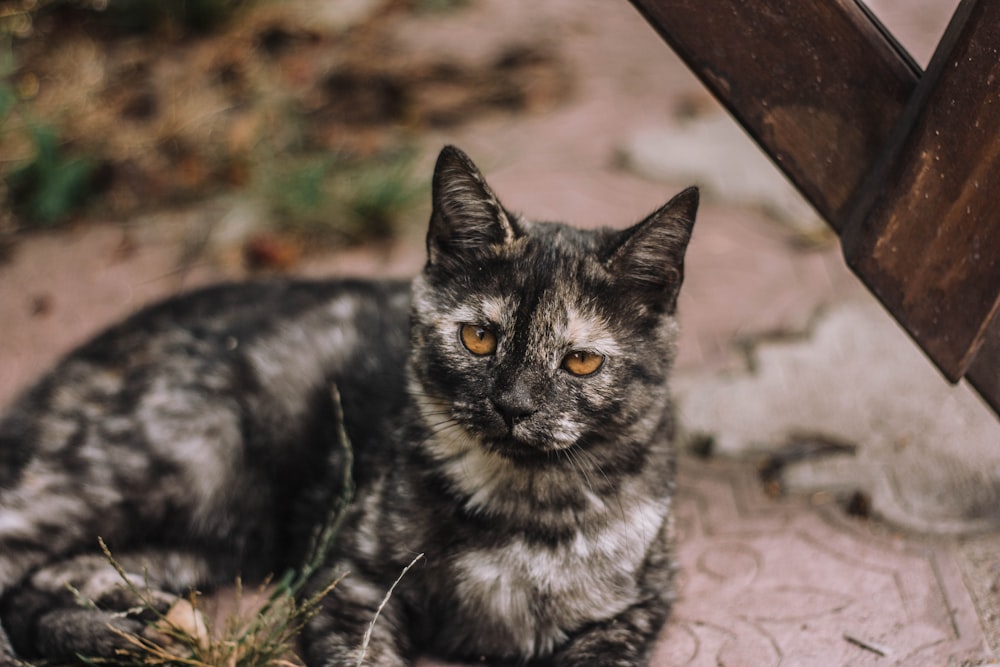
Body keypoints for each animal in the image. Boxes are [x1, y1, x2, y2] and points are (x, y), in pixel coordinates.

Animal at [0, 147, 696, 667]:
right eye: (478, 338)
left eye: (580, 362)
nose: (512, 405)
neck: (520, 512)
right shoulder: (350, 582)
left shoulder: (637, 608)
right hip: (165, 462)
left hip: (222, 532)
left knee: (50, 577)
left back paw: (132, 618)